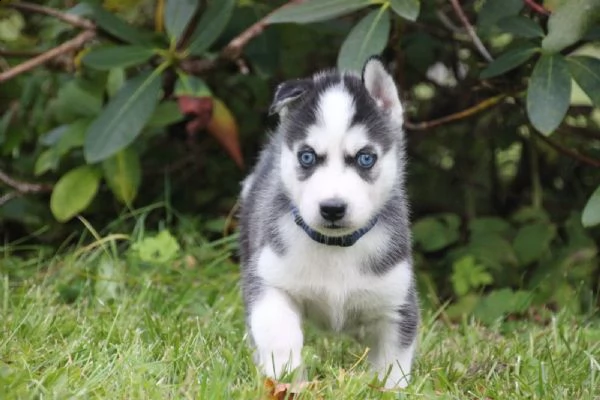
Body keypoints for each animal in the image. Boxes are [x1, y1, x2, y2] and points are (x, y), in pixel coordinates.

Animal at [238, 55, 418, 388]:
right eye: (307, 157)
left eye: (365, 158)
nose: (332, 208)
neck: (336, 247)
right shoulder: (268, 277)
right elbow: (276, 328)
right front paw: (285, 369)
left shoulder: (396, 303)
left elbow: (392, 366)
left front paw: (389, 388)